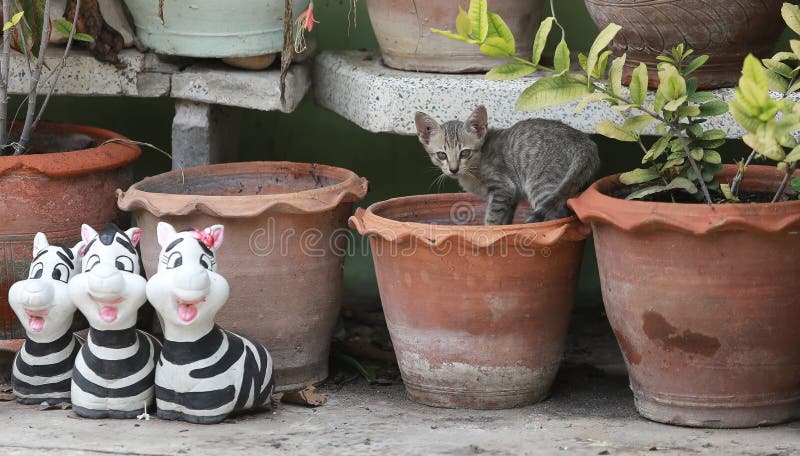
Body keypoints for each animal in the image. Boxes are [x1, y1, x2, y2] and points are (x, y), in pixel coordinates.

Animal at [416, 107, 596, 224]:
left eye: (464, 153)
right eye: (442, 155)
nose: (454, 169)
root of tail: (582, 139)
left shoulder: (503, 187)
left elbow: (492, 218)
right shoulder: (512, 194)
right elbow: (505, 219)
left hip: (541, 183)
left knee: (557, 215)